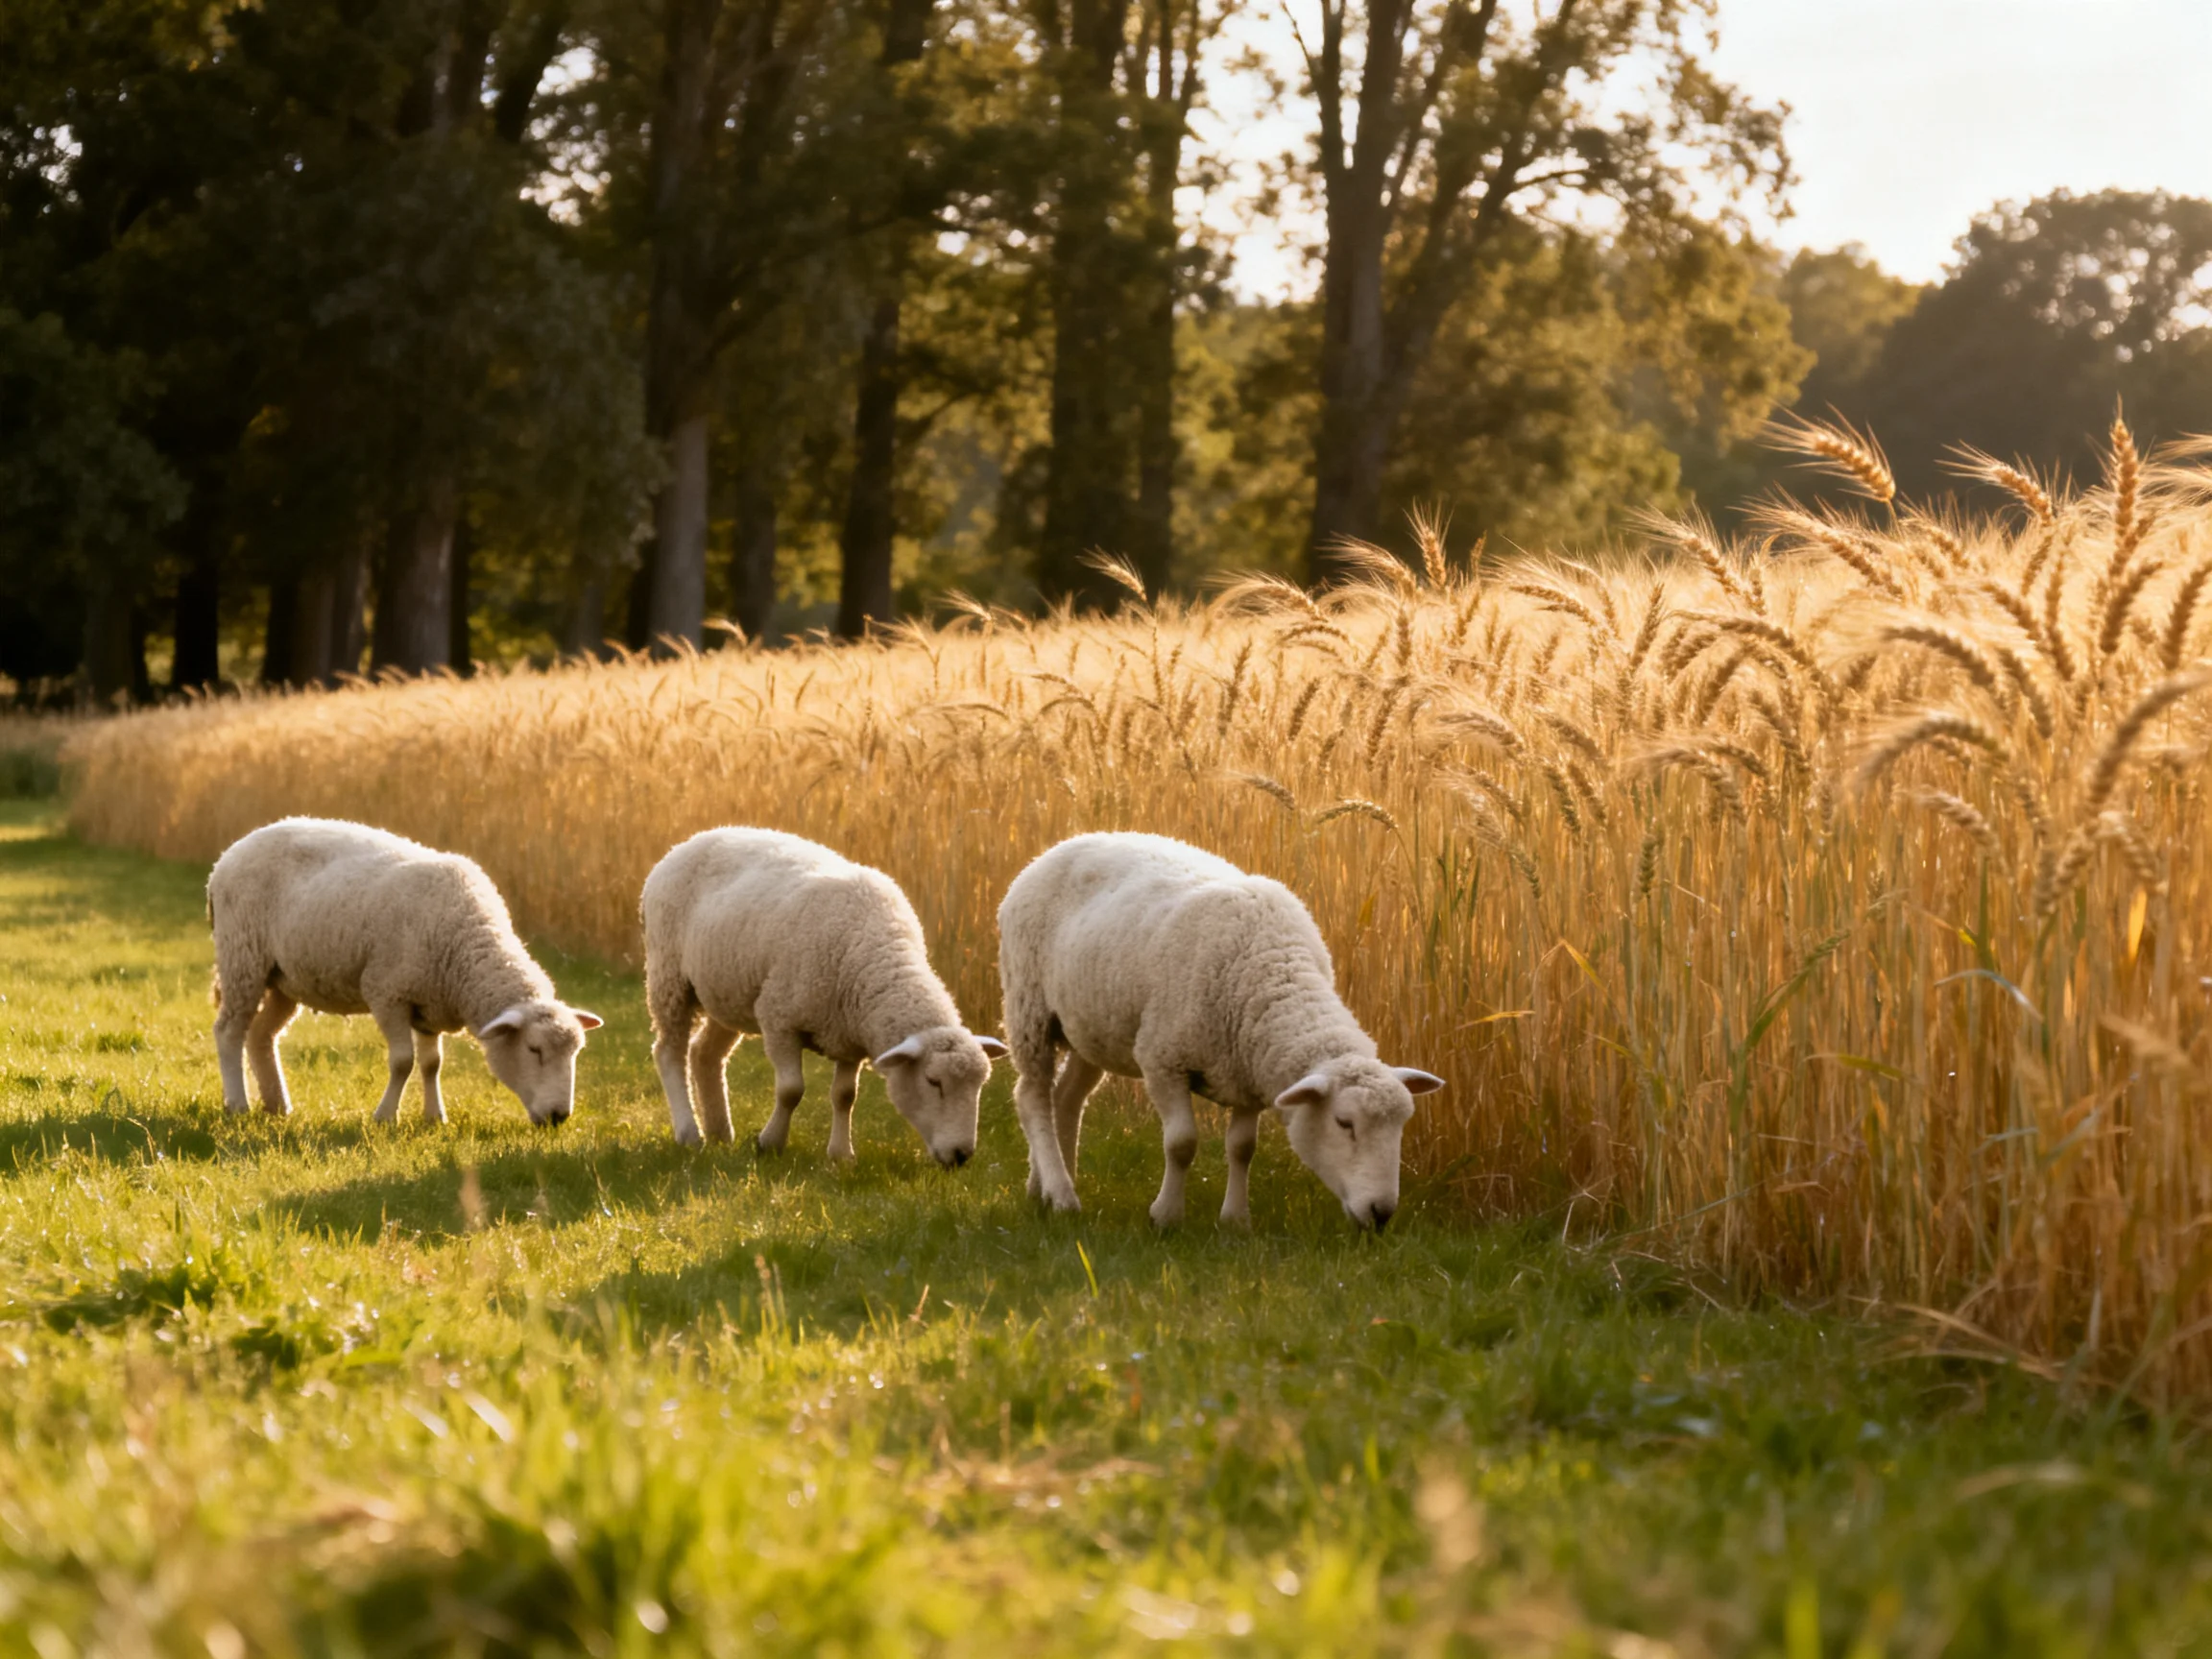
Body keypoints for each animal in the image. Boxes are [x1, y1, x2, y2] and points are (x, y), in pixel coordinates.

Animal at [207, 818, 601, 1126]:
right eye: (534, 1049)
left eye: (577, 1052)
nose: (559, 1117)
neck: (465, 945)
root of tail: (227, 856)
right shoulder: (387, 993)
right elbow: (402, 1062)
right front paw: (385, 1116)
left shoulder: (429, 1004)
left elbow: (431, 1064)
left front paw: (435, 1117)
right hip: (242, 958)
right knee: (229, 1031)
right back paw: (238, 1104)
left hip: (282, 979)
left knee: (262, 1035)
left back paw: (278, 1105)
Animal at [641, 828, 1008, 1163]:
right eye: (934, 1082)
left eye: (980, 1086)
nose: (961, 1155)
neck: (876, 952)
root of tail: (687, 842)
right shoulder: (779, 1019)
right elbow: (791, 1090)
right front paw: (770, 1142)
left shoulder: (849, 1036)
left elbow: (845, 1096)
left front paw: (841, 1155)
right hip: (669, 977)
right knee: (669, 1052)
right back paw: (689, 1133)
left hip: (729, 992)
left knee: (705, 1054)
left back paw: (719, 1131)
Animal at [997, 832, 1444, 1229]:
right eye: (1344, 1123)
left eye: (1401, 1126)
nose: (1381, 1213)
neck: (1273, 970)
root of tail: (1057, 847)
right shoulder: (1163, 1060)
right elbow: (1181, 1144)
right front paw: (1166, 1216)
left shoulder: (1247, 1074)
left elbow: (1243, 1148)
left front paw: (1235, 1221)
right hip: (1029, 1008)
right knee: (1032, 1098)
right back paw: (1062, 1195)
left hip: (1091, 1028)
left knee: (1066, 1099)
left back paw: (1046, 1187)